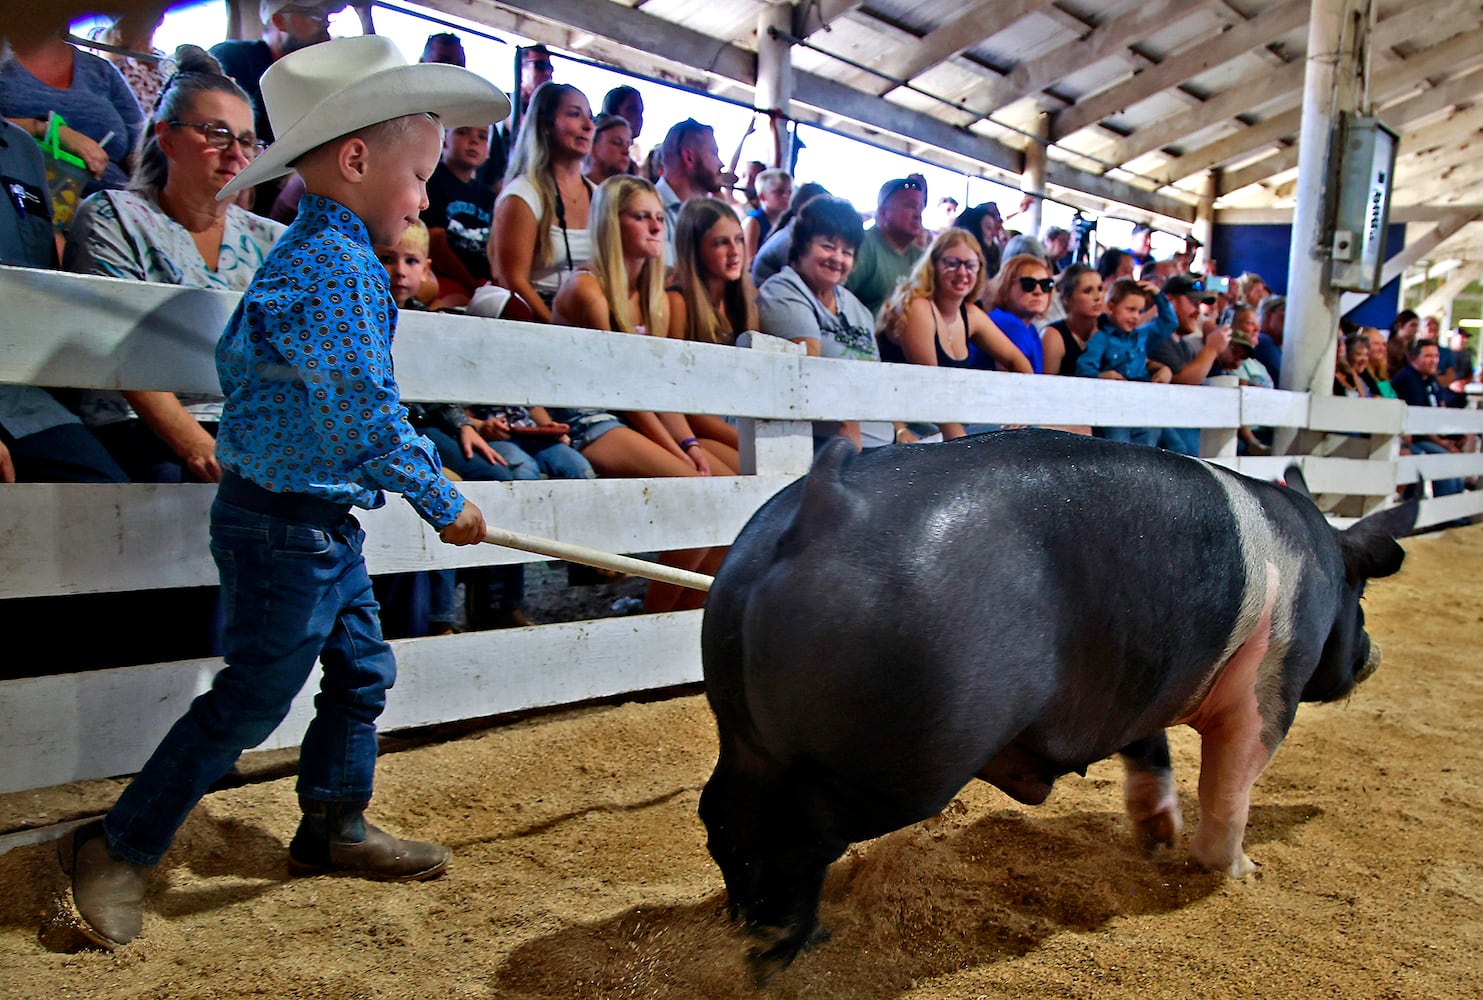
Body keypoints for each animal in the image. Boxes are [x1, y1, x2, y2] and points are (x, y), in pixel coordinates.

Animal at [699, 427, 1417, 979]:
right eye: (1359, 594)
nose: (1375, 652)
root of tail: (821, 507)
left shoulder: (1142, 680)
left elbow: (1150, 753)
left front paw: (1158, 841)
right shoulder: (1269, 690)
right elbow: (1230, 784)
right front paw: (1243, 872)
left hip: (744, 732)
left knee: (722, 814)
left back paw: (745, 925)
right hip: (885, 764)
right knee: (796, 836)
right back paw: (786, 947)